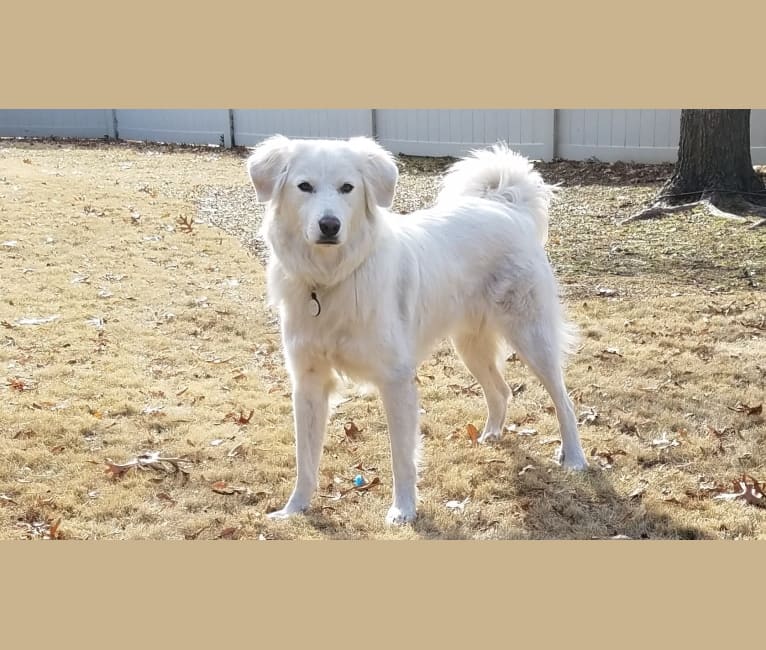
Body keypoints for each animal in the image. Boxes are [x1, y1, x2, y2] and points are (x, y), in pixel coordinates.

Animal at [246, 134, 588, 524]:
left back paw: (575, 458)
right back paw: (490, 435)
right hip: (470, 346)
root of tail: (507, 208)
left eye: (347, 188)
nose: (330, 225)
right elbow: (305, 460)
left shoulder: (396, 381)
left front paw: (404, 510)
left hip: (533, 339)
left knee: (564, 401)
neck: (331, 279)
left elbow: (401, 457)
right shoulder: (308, 383)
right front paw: (294, 509)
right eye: (305, 187)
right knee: (500, 391)